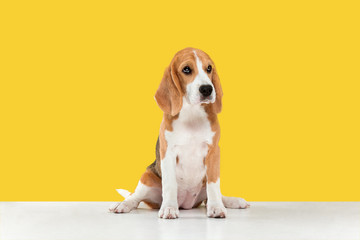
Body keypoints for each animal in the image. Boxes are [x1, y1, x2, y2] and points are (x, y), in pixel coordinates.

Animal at [109, 47, 249, 218]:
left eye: (209, 68)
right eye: (186, 69)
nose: (207, 89)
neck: (192, 113)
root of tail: (186, 204)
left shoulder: (214, 152)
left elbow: (214, 184)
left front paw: (217, 207)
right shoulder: (167, 152)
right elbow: (170, 184)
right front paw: (169, 208)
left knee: (209, 196)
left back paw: (232, 201)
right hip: (147, 177)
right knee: (135, 197)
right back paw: (123, 205)